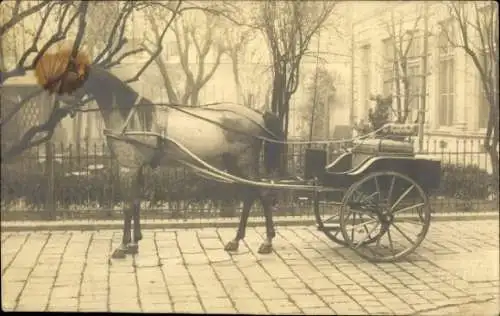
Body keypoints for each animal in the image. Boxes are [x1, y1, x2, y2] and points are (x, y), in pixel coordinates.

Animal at [34, 48, 286, 258]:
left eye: (71, 76)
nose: (60, 105)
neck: (129, 114)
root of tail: (256, 114)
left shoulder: (127, 167)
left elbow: (127, 205)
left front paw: (122, 246)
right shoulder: (137, 168)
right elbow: (136, 202)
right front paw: (134, 242)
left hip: (244, 162)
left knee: (262, 193)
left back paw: (267, 242)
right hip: (233, 163)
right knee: (249, 195)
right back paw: (236, 240)